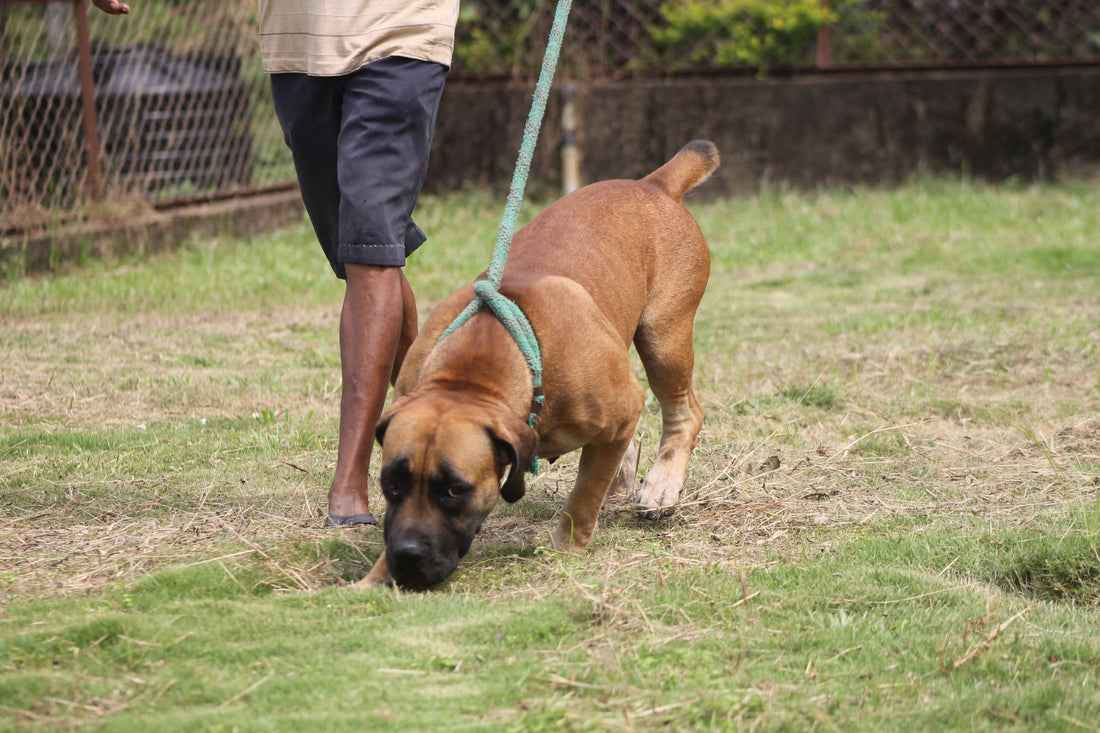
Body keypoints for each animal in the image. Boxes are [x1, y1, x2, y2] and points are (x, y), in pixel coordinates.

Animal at [358, 139, 721, 589]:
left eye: (454, 491)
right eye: (392, 483)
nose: (406, 556)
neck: (477, 372)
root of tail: (653, 185)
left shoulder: (621, 408)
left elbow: (583, 497)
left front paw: (566, 551)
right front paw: (375, 576)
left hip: (663, 340)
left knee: (685, 413)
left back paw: (662, 484)